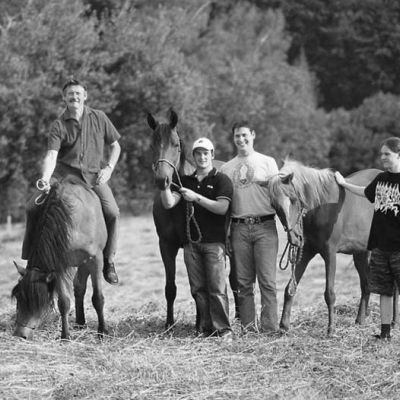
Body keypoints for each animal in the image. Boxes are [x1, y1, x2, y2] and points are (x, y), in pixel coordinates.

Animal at [12, 177, 107, 340]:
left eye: (39, 301)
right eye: (18, 297)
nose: (20, 334)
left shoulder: (95, 260)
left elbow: (98, 298)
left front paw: (102, 332)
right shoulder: (59, 267)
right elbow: (64, 302)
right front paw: (65, 336)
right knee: (79, 287)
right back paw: (80, 322)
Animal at [263, 159, 384, 335]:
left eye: (293, 199)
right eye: (275, 206)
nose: (295, 238)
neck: (321, 206)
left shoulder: (330, 253)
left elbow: (329, 293)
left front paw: (331, 329)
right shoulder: (306, 252)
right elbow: (290, 288)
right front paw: (284, 326)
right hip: (360, 253)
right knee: (366, 284)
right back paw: (360, 321)